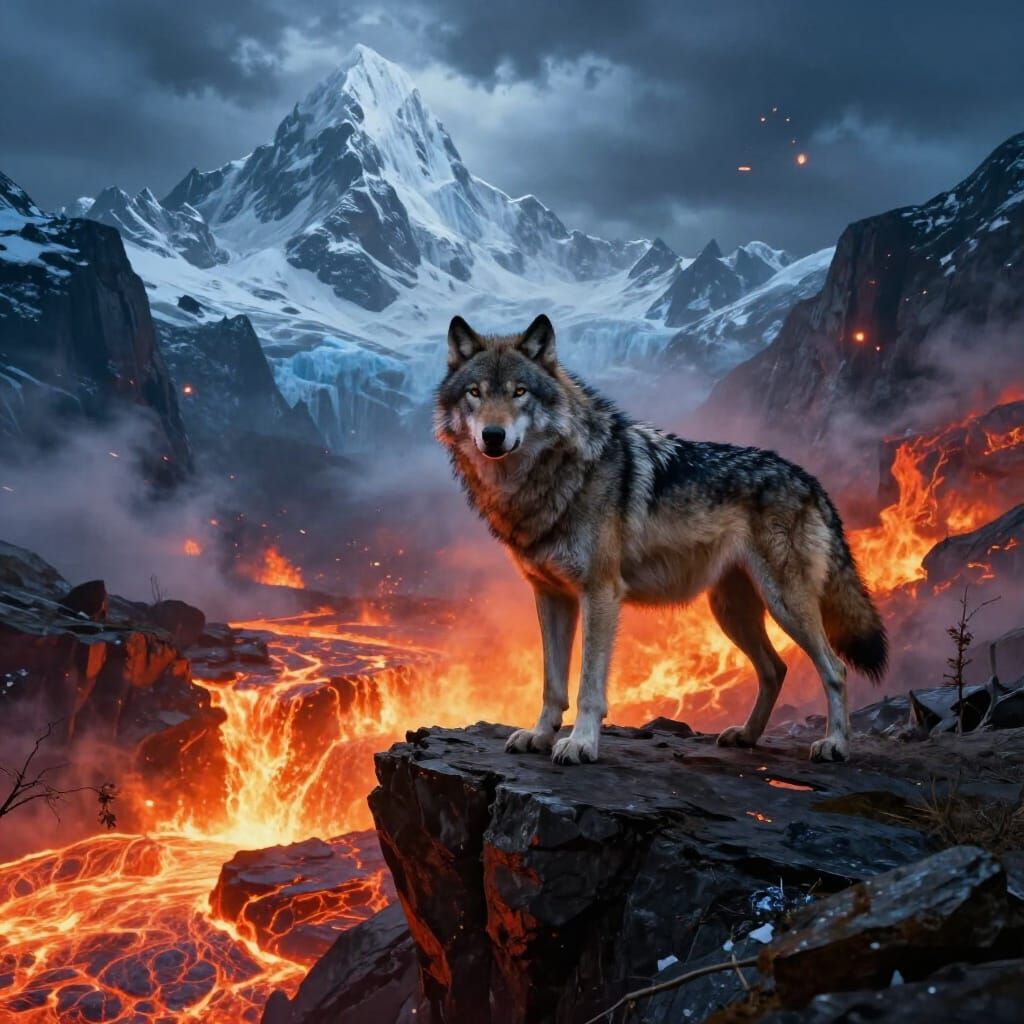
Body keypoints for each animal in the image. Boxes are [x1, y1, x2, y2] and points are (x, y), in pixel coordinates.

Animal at [435, 313, 887, 765]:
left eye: (520, 392)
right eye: (475, 393)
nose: (493, 435)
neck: (551, 477)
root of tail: (809, 480)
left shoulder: (600, 593)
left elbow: (588, 686)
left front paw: (581, 743)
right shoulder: (551, 595)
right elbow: (552, 685)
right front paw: (540, 736)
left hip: (785, 603)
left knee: (834, 668)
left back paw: (835, 744)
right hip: (731, 610)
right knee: (775, 668)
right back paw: (746, 735)